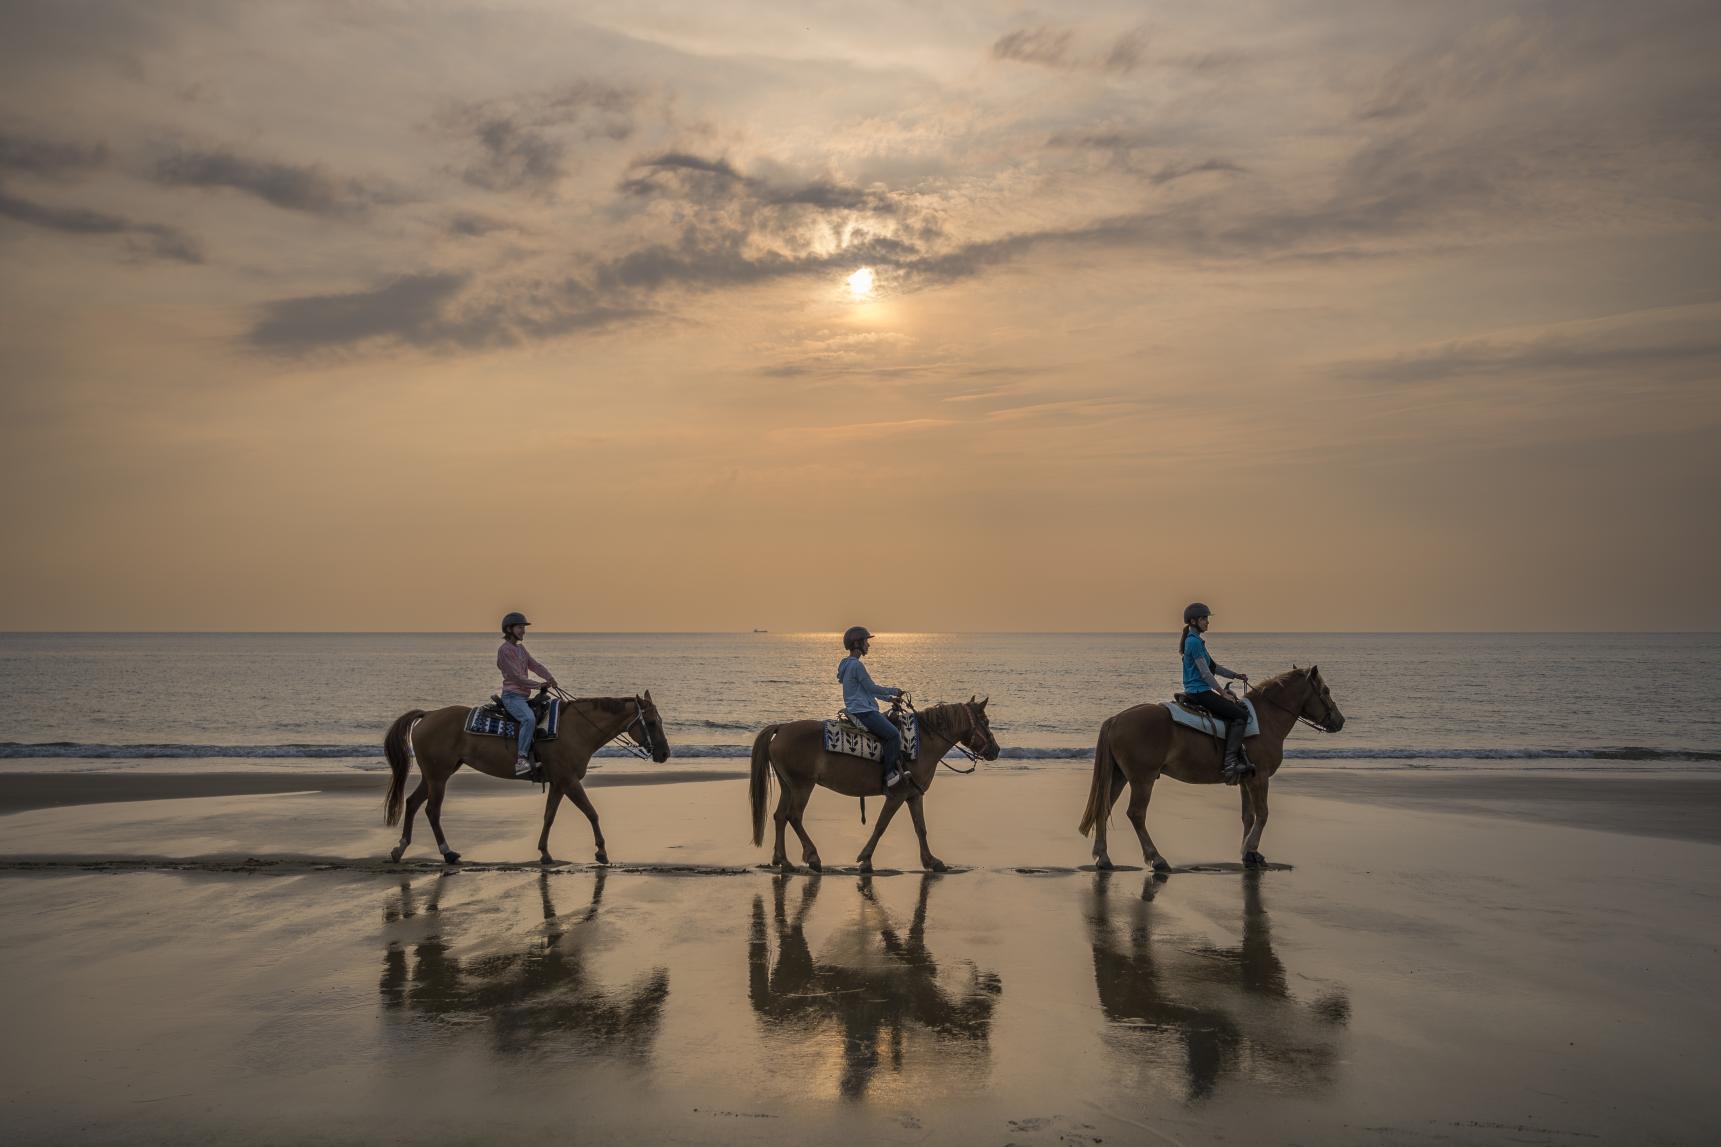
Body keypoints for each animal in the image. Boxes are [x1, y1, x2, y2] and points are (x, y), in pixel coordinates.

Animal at [383, 688, 671, 857]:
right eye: (651, 722)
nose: (665, 753)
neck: (576, 729)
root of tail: (428, 715)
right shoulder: (569, 781)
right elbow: (591, 812)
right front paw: (601, 851)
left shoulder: (558, 783)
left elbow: (549, 816)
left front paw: (544, 852)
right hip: (438, 776)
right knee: (432, 810)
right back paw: (447, 852)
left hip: (435, 775)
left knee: (412, 802)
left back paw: (400, 847)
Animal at [746, 695, 1005, 868]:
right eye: (985, 721)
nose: (996, 749)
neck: (923, 743)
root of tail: (782, 728)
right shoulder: (898, 795)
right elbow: (881, 825)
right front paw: (865, 858)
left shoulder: (914, 795)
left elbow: (920, 828)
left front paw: (931, 861)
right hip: (802, 786)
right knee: (794, 817)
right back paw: (812, 856)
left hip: (788, 786)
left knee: (780, 817)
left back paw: (782, 860)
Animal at [1073, 661, 1342, 868]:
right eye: (1326, 690)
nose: (1340, 721)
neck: (1266, 719)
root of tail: (1116, 719)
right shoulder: (1260, 777)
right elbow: (1263, 814)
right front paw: (1251, 849)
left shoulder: (1247, 780)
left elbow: (1249, 816)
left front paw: (1249, 854)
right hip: (1142, 779)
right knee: (1136, 814)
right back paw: (1156, 858)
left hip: (1119, 775)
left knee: (1104, 808)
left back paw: (1103, 857)